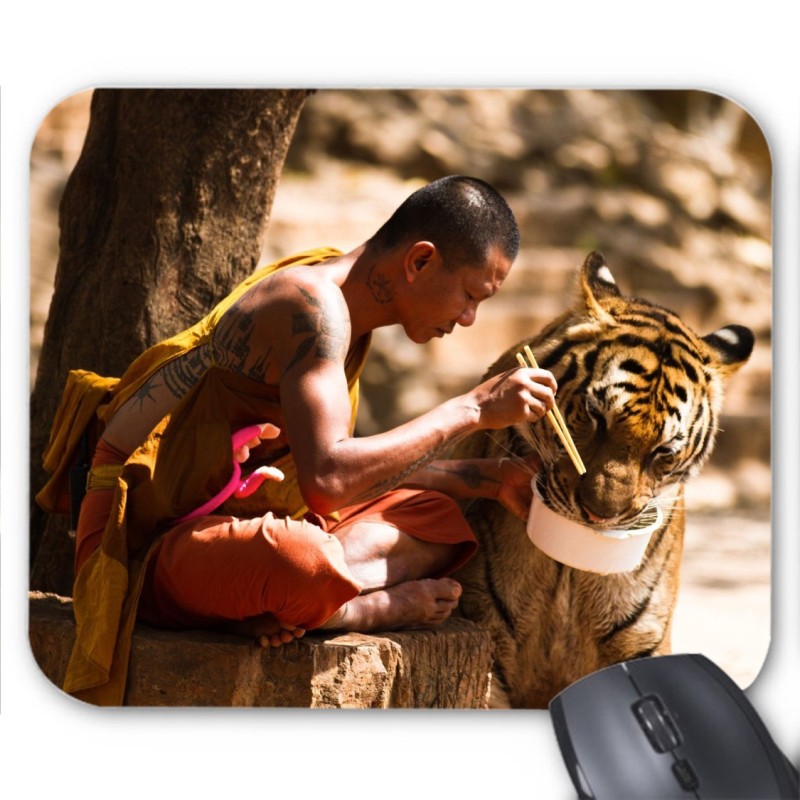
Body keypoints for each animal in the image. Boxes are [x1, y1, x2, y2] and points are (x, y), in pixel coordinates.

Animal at [451, 251, 754, 709]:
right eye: (596, 416)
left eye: (663, 451)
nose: (599, 516)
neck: (568, 570)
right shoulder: (487, 634)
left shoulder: (641, 638)